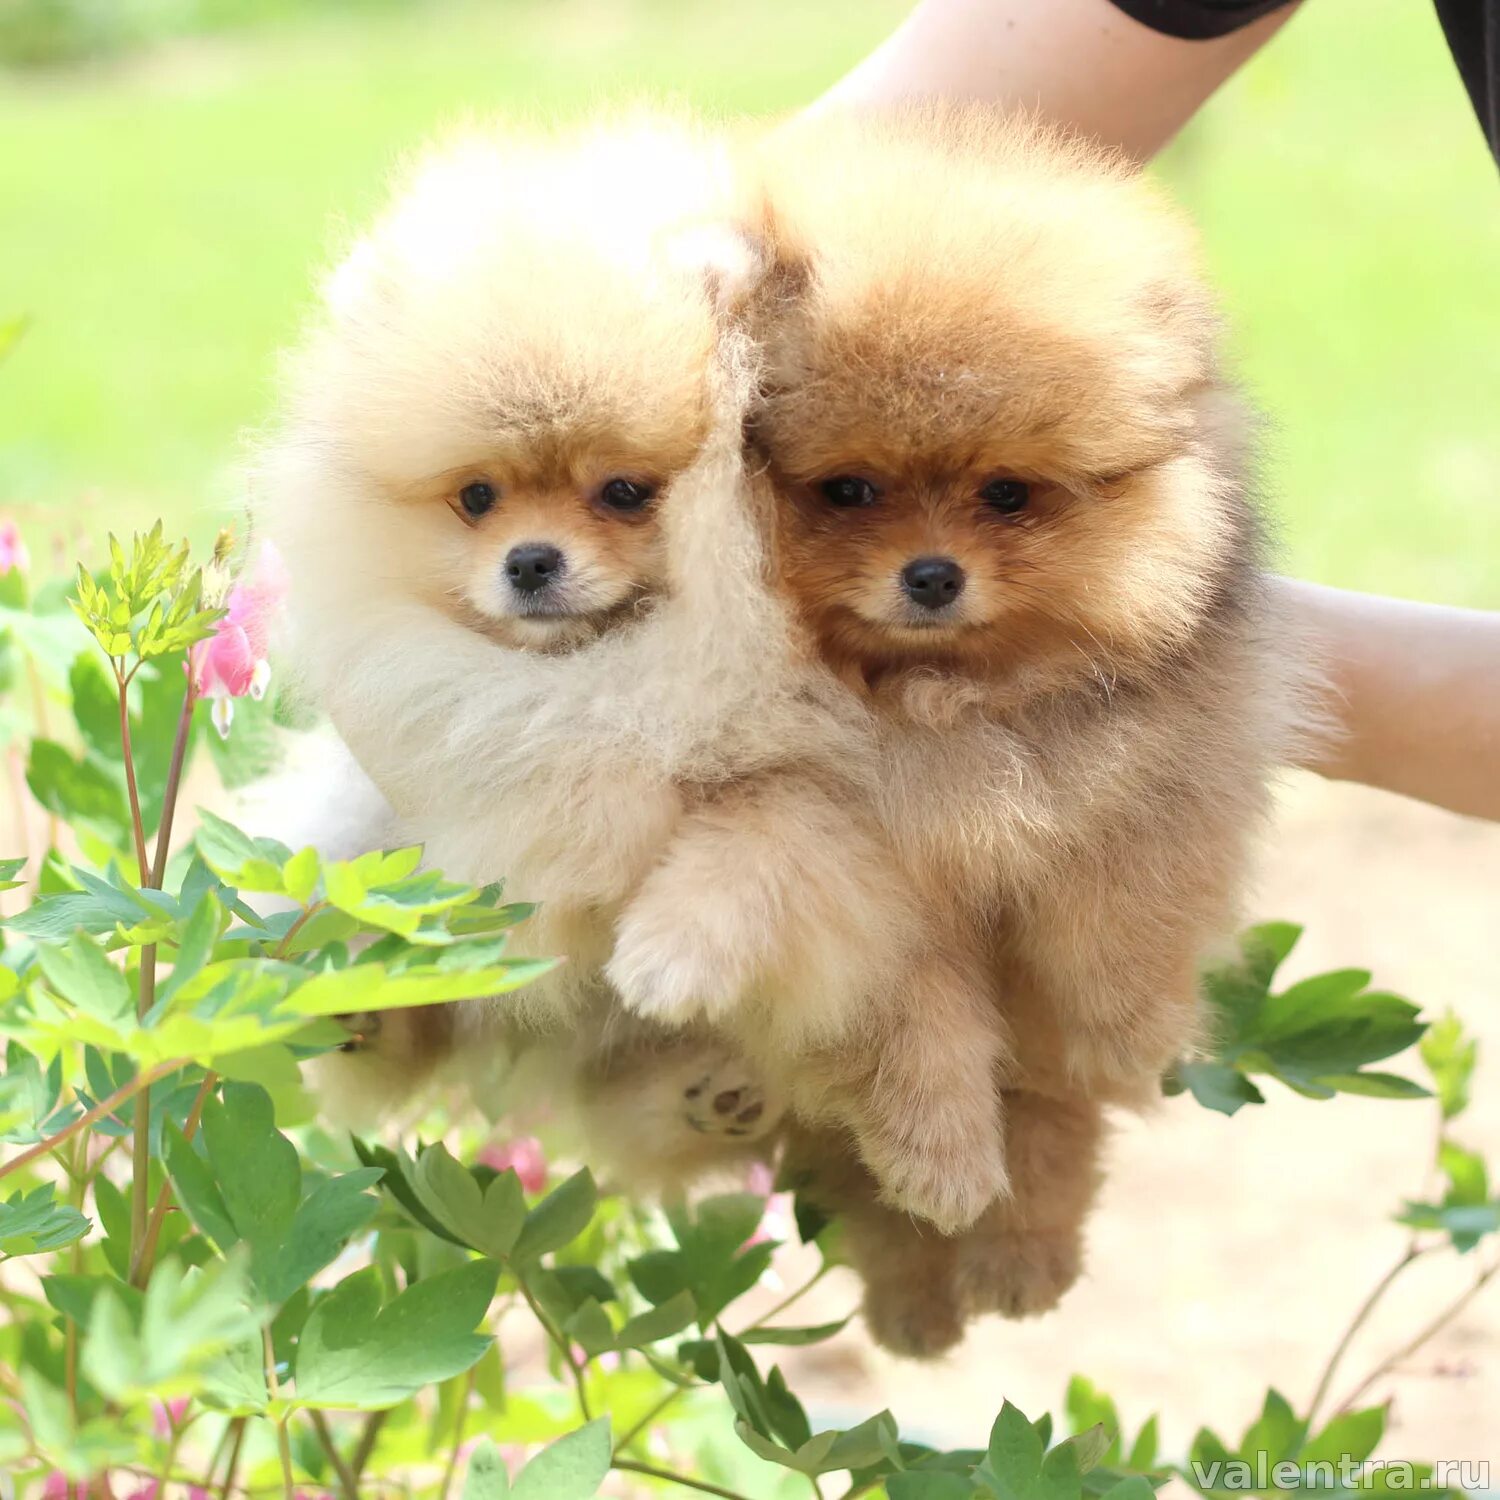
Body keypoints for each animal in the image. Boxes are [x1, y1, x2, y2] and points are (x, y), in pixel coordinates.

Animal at [255, 120, 1008, 1230]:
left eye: (622, 491)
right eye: (476, 497)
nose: (530, 561)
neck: (634, 654)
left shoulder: (842, 785)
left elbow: (762, 843)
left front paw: (667, 951)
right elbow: (568, 795)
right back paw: (368, 1013)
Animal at [747, 111, 1314, 1362]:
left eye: (1007, 494)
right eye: (849, 490)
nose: (930, 575)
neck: (951, 707)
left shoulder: (1161, 776)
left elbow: (1120, 919)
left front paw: (1125, 1033)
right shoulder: (860, 884)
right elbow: (916, 1032)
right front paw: (942, 1159)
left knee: (1055, 1128)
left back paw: (1021, 1264)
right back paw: (923, 1297)